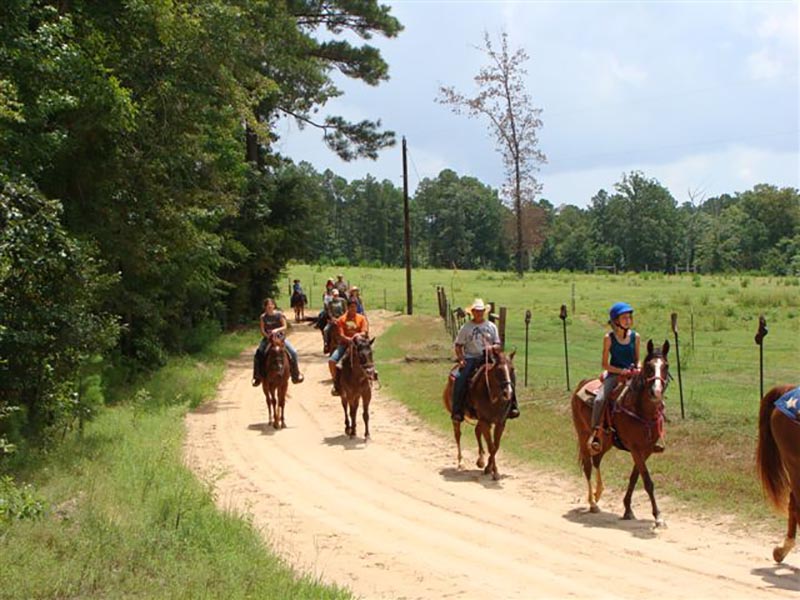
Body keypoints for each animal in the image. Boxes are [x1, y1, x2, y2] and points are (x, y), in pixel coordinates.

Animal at [440, 350, 516, 480]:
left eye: (512, 369)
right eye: (499, 370)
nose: (508, 393)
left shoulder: (500, 422)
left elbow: (496, 446)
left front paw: (489, 468)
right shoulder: (485, 421)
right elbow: (491, 446)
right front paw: (494, 472)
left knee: (476, 431)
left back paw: (480, 460)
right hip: (457, 418)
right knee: (458, 435)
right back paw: (461, 462)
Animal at [568, 340, 668, 528]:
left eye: (665, 366)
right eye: (649, 367)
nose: (656, 392)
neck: (640, 409)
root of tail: (582, 383)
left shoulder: (646, 450)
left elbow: (634, 478)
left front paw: (628, 509)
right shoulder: (636, 449)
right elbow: (648, 482)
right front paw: (658, 516)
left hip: (604, 441)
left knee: (597, 460)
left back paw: (598, 493)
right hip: (583, 435)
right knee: (588, 466)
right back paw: (593, 503)